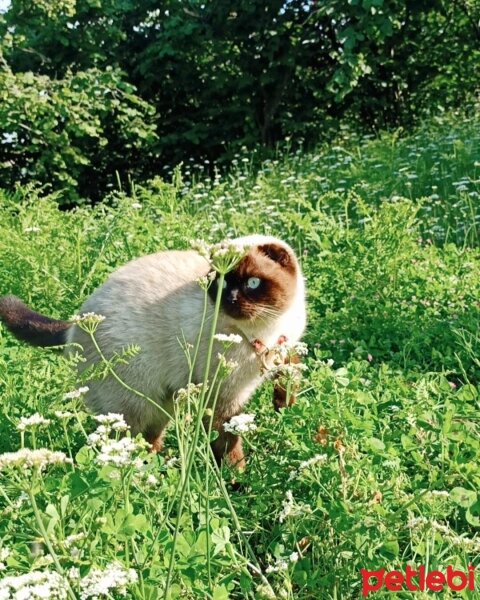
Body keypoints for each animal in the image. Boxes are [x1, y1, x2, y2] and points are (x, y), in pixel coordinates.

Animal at [0, 237, 306, 466]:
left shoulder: (288, 344)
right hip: (132, 407)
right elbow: (228, 439)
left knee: (149, 440)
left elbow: (291, 371)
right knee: (121, 447)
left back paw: (161, 468)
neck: (263, 330)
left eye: (252, 283)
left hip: (162, 404)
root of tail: (78, 323)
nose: (229, 299)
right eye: (220, 283)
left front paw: (284, 405)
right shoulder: (223, 395)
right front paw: (236, 478)